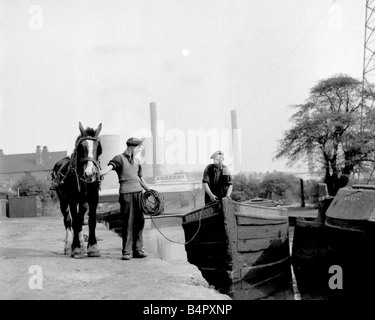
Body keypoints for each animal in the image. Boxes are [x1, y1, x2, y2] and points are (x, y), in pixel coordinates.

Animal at [51, 121, 103, 258]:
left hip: (83, 202)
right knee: (68, 221)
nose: (89, 174)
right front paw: (76, 248)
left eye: (98, 148)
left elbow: (91, 221)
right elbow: (74, 222)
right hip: (63, 201)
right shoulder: (72, 200)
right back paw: (68, 246)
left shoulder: (93, 199)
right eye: (81, 147)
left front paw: (92, 248)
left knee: (80, 219)